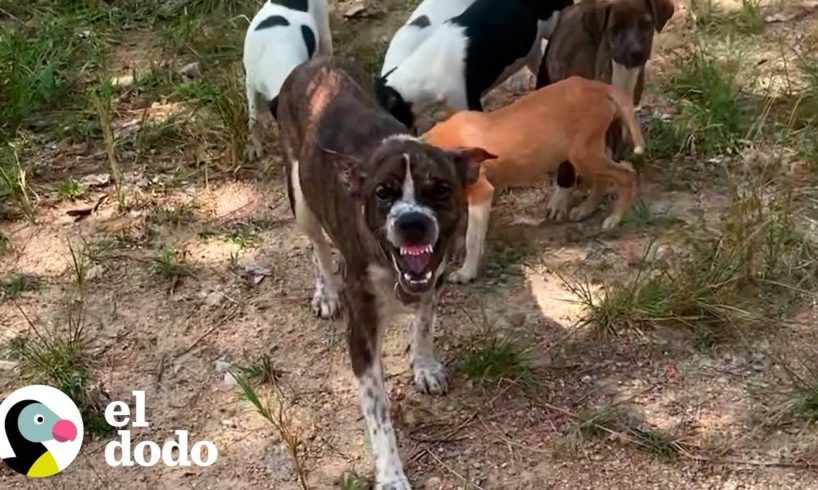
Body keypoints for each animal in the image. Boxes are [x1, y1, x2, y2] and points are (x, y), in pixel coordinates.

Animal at [420, 76, 644, 284]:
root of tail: (597, 86)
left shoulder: (481, 192)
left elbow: (472, 239)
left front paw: (466, 273)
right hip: (586, 156)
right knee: (607, 178)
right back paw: (586, 209)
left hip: (584, 156)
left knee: (627, 173)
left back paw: (615, 218)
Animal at [536, 0, 668, 218]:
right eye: (614, 29)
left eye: (646, 25)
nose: (636, 52)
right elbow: (566, 166)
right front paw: (561, 199)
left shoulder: (617, 124)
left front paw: (591, 203)